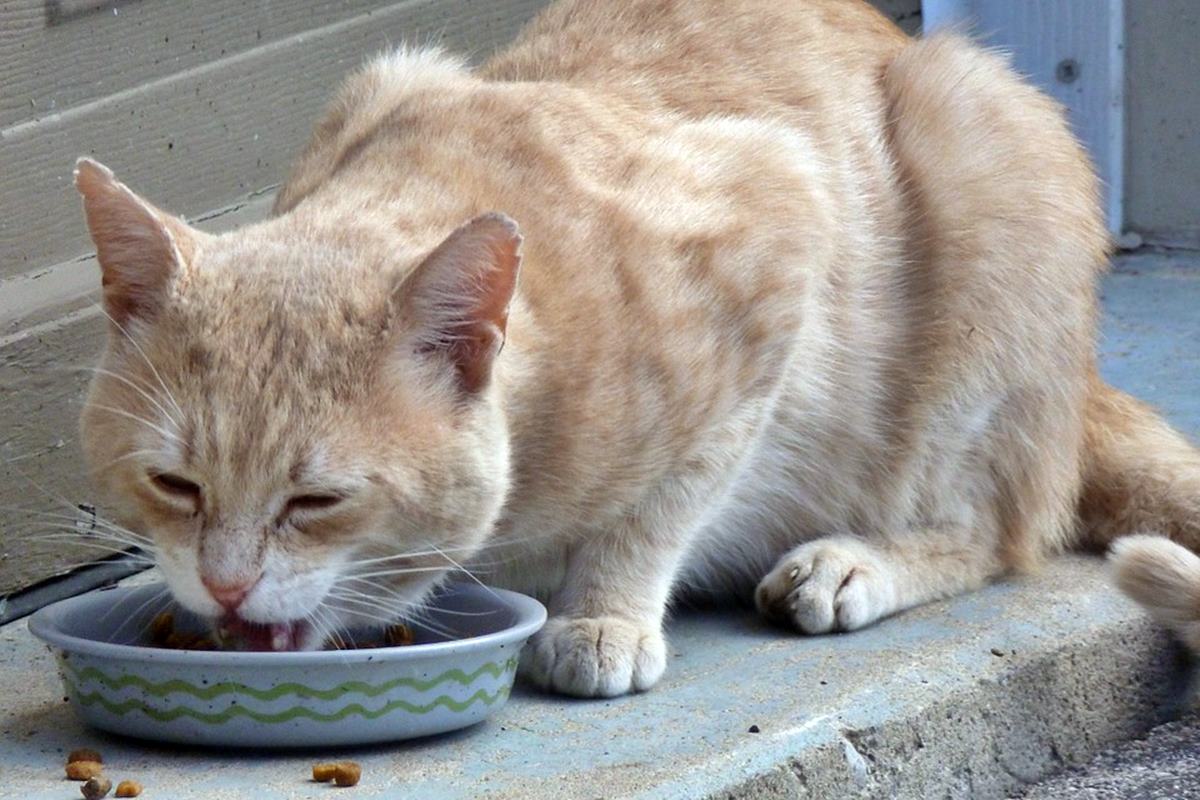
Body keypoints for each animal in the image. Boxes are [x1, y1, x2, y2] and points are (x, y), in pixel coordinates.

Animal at [72, 0, 1200, 695]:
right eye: (175, 485)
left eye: (317, 500)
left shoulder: (780, 235)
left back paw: (854, 562)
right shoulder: (383, 76)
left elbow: (662, 505)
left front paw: (600, 615)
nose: (224, 589)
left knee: (997, 528)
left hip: (980, 150)